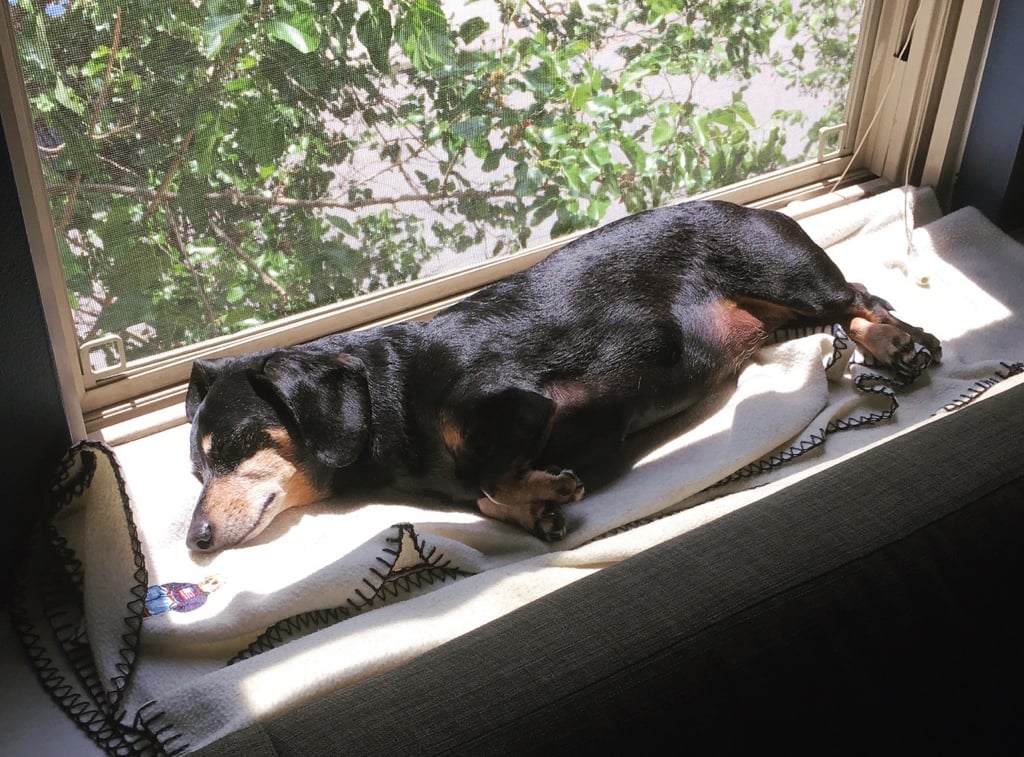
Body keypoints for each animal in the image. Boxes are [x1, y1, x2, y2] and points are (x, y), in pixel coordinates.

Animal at [182, 202, 937, 549]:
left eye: (237, 445)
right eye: (196, 470)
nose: (195, 542)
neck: (396, 395)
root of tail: (748, 206)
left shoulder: (524, 404)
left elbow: (488, 479)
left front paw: (542, 489)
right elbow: (484, 493)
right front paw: (536, 505)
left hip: (788, 276)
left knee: (858, 295)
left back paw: (902, 341)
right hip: (779, 309)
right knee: (854, 302)